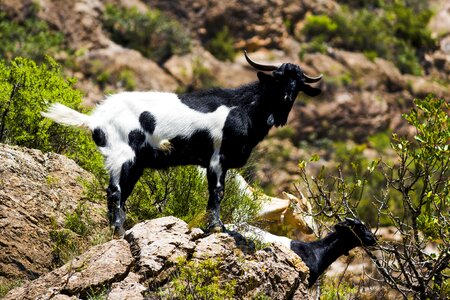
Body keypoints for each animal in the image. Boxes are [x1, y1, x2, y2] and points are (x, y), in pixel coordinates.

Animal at [42, 51, 322, 234]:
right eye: (278, 77)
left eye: (298, 84)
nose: (285, 101)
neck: (243, 107)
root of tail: (96, 118)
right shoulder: (216, 159)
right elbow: (217, 192)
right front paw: (217, 227)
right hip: (122, 156)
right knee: (115, 192)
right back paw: (119, 231)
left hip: (135, 163)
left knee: (122, 193)